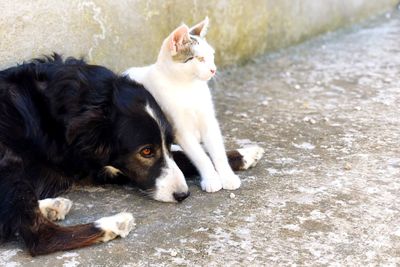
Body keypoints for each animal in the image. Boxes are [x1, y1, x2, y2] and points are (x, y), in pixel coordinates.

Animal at [0, 55, 262, 256]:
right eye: (145, 151)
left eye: (170, 142)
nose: (183, 195)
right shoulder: (97, 167)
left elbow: (185, 157)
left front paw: (244, 154)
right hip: (8, 161)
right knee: (40, 237)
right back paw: (112, 224)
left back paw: (52, 206)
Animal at [124, 18, 244, 193]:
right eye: (199, 59)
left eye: (212, 56)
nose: (213, 70)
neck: (187, 87)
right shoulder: (180, 130)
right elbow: (200, 156)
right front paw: (211, 178)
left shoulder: (209, 121)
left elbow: (217, 151)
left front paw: (227, 176)